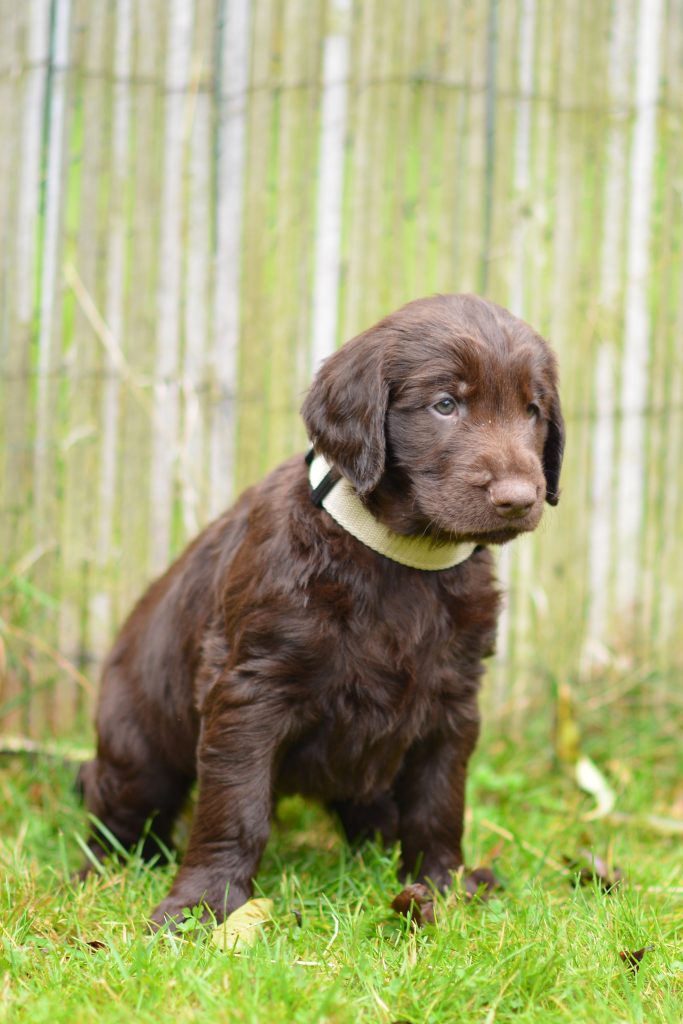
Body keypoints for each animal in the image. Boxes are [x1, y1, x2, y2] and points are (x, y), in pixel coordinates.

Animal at [78, 293, 564, 926]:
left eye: (533, 410)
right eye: (445, 405)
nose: (518, 500)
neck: (400, 557)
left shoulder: (454, 700)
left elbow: (438, 800)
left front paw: (444, 884)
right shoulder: (249, 689)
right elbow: (235, 806)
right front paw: (205, 904)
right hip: (138, 745)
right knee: (118, 803)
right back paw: (100, 872)